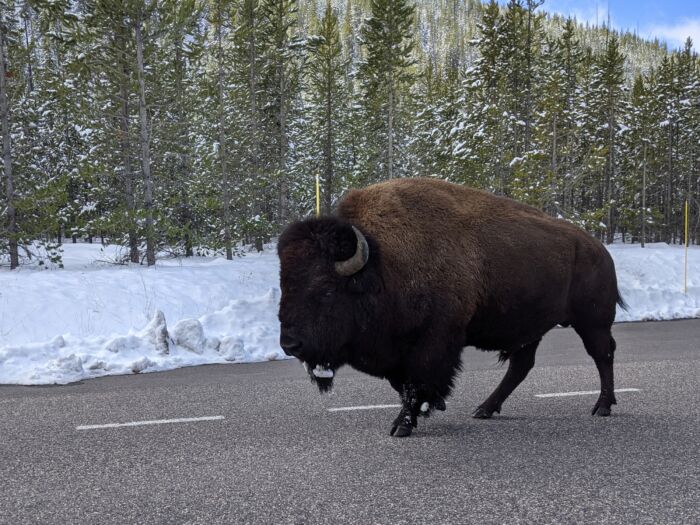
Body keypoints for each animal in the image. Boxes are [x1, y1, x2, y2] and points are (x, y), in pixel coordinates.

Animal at [277, 178, 625, 437]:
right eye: (284, 285)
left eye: (325, 290)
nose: (289, 344)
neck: (382, 264)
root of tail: (598, 248)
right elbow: (403, 384)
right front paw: (430, 408)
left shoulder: (434, 341)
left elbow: (417, 382)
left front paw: (403, 424)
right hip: (531, 329)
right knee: (521, 366)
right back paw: (484, 409)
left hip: (592, 321)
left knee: (603, 354)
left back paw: (602, 406)